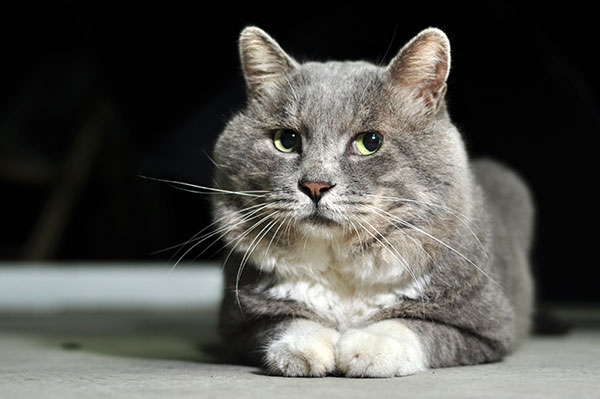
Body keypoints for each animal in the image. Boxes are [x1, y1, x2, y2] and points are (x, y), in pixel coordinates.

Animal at [211, 25, 536, 378]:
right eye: (286, 139)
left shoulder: (486, 327)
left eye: (370, 142)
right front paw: (305, 350)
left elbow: (414, 324)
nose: (315, 185)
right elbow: (286, 320)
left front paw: (368, 348)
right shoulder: (238, 326)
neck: (340, 271)